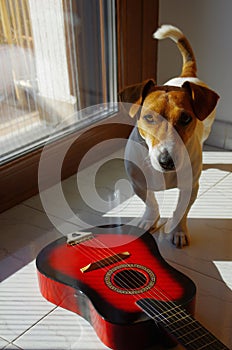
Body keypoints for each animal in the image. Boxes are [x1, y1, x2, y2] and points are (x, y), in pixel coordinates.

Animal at [119, 24, 219, 247]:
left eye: (186, 118)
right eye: (149, 117)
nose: (167, 161)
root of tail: (187, 75)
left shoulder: (190, 188)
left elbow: (181, 211)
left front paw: (178, 231)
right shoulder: (138, 183)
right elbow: (151, 203)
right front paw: (149, 220)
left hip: (208, 128)